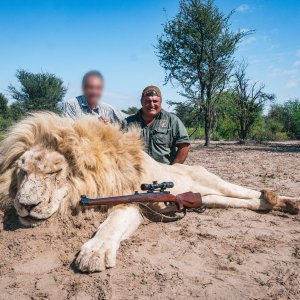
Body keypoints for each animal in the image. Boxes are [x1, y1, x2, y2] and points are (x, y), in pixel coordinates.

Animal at [0, 112, 298, 272]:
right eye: (22, 171)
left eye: (54, 173)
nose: (25, 205)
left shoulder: (131, 204)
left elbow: (110, 226)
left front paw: (93, 254)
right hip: (212, 199)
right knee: (244, 202)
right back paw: (275, 204)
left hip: (209, 180)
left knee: (245, 191)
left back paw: (285, 200)